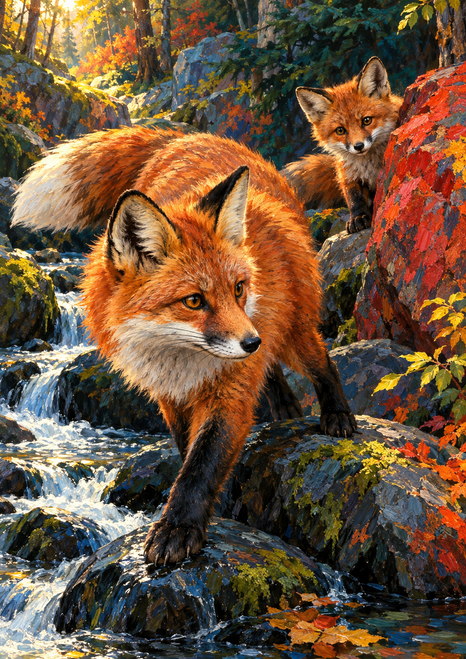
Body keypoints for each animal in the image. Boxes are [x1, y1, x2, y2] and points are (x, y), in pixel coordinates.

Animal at [12, 126, 356, 565]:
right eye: (194, 301)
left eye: (238, 289)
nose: (251, 342)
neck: (182, 360)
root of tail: (189, 136)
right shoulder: (169, 393)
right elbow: (187, 451)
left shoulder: (230, 389)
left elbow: (201, 464)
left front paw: (178, 528)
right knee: (276, 371)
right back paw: (284, 408)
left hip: (295, 328)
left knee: (320, 361)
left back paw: (337, 416)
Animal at [282, 57, 403, 233]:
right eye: (340, 130)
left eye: (366, 120)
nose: (358, 146)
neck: (369, 166)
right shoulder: (347, 174)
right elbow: (354, 198)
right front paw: (358, 218)